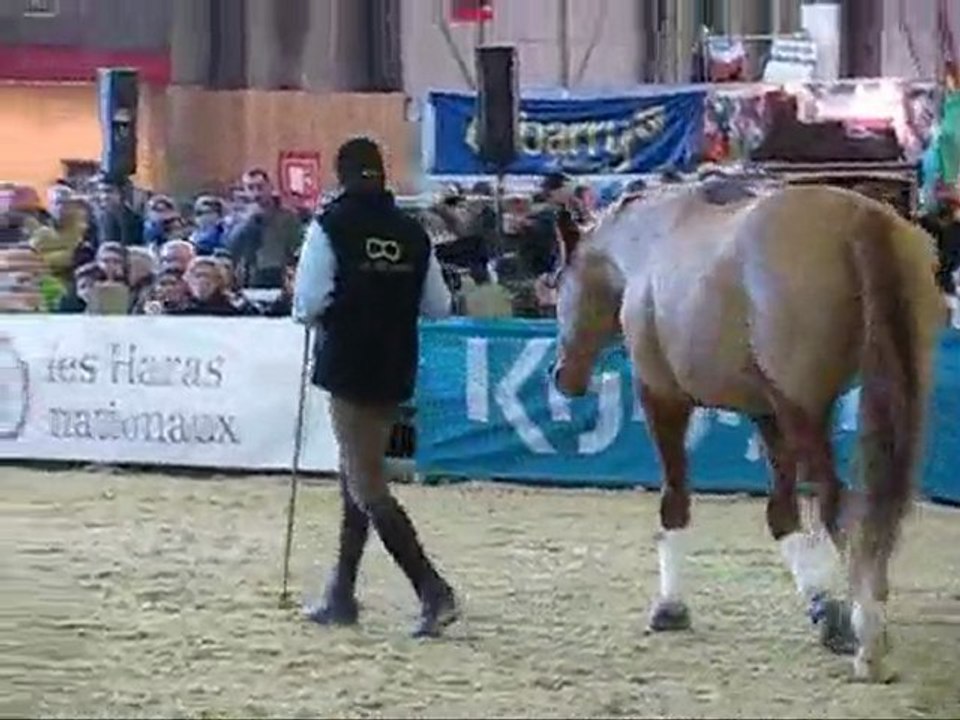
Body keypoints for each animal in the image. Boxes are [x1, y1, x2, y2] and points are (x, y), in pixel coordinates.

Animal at [551, 178, 945, 683]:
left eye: (559, 282)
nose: (563, 376)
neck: (651, 240)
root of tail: (859, 219)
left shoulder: (662, 397)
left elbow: (674, 502)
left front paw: (670, 607)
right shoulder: (768, 414)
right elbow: (782, 515)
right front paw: (822, 606)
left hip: (804, 413)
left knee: (839, 509)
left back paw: (869, 638)